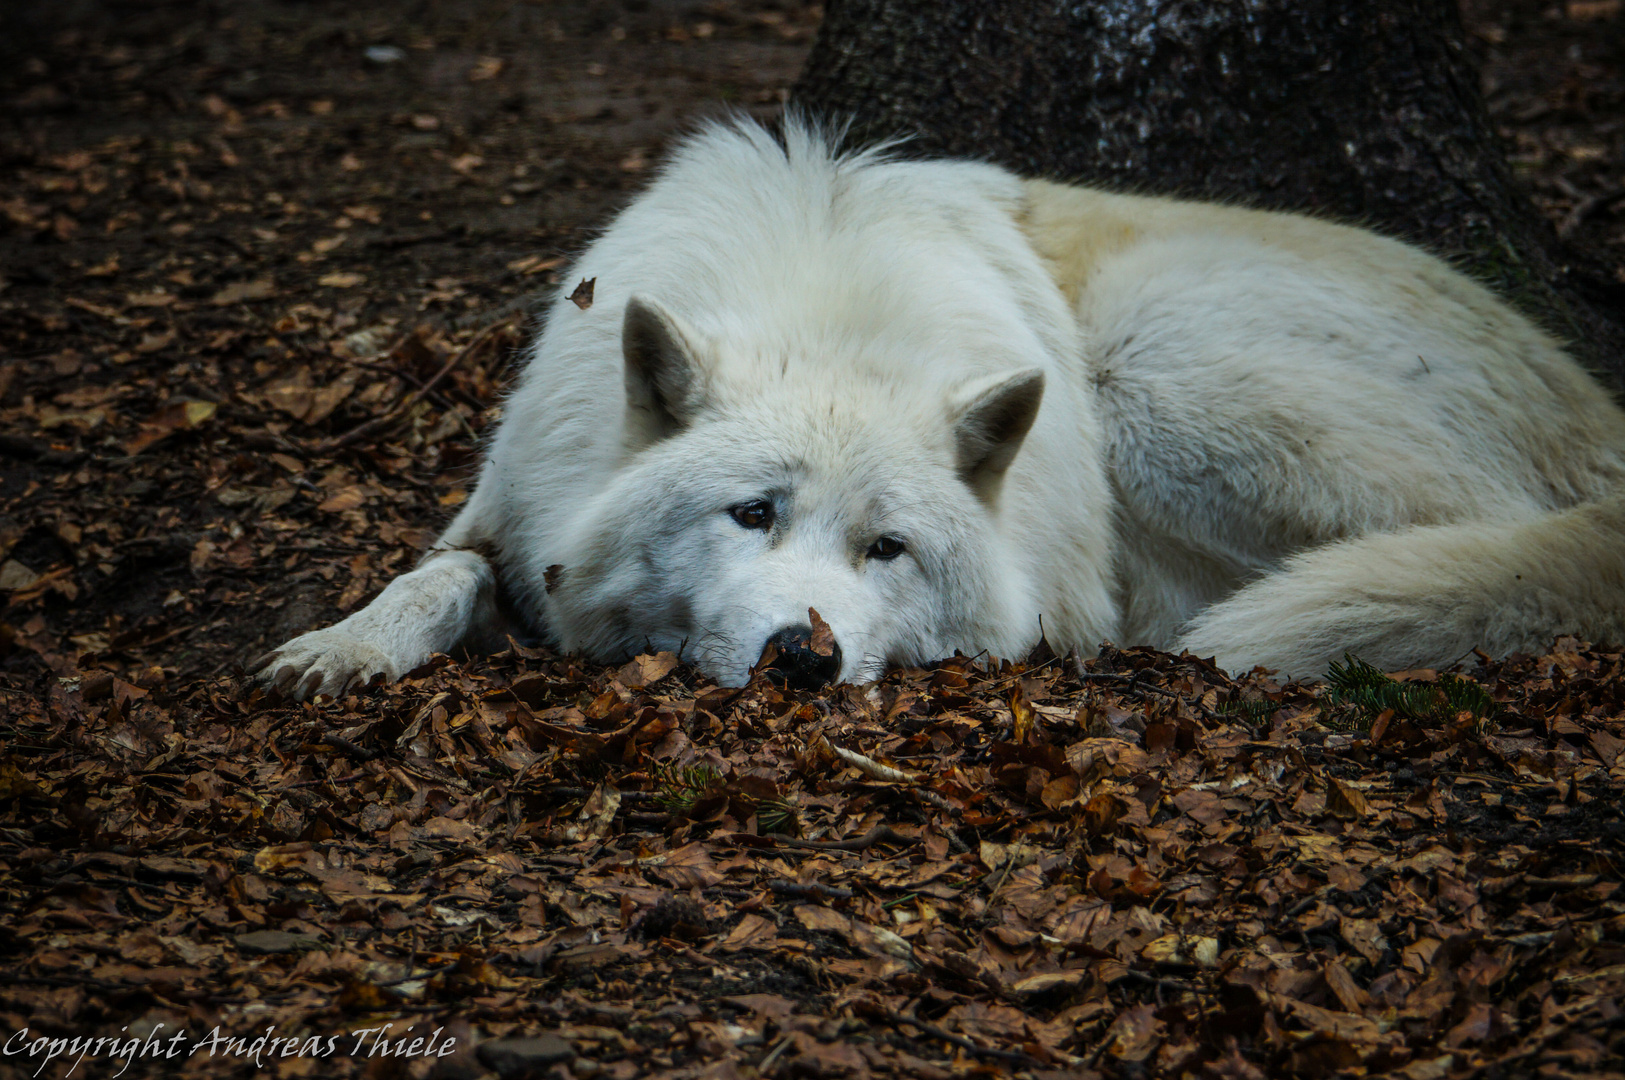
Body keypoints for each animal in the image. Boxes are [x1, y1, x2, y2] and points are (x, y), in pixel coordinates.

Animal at [253, 113, 1625, 695]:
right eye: (749, 514)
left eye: (888, 548)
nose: (801, 658)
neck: (821, 303)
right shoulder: (510, 508)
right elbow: (438, 575)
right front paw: (342, 647)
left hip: (1155, 374)